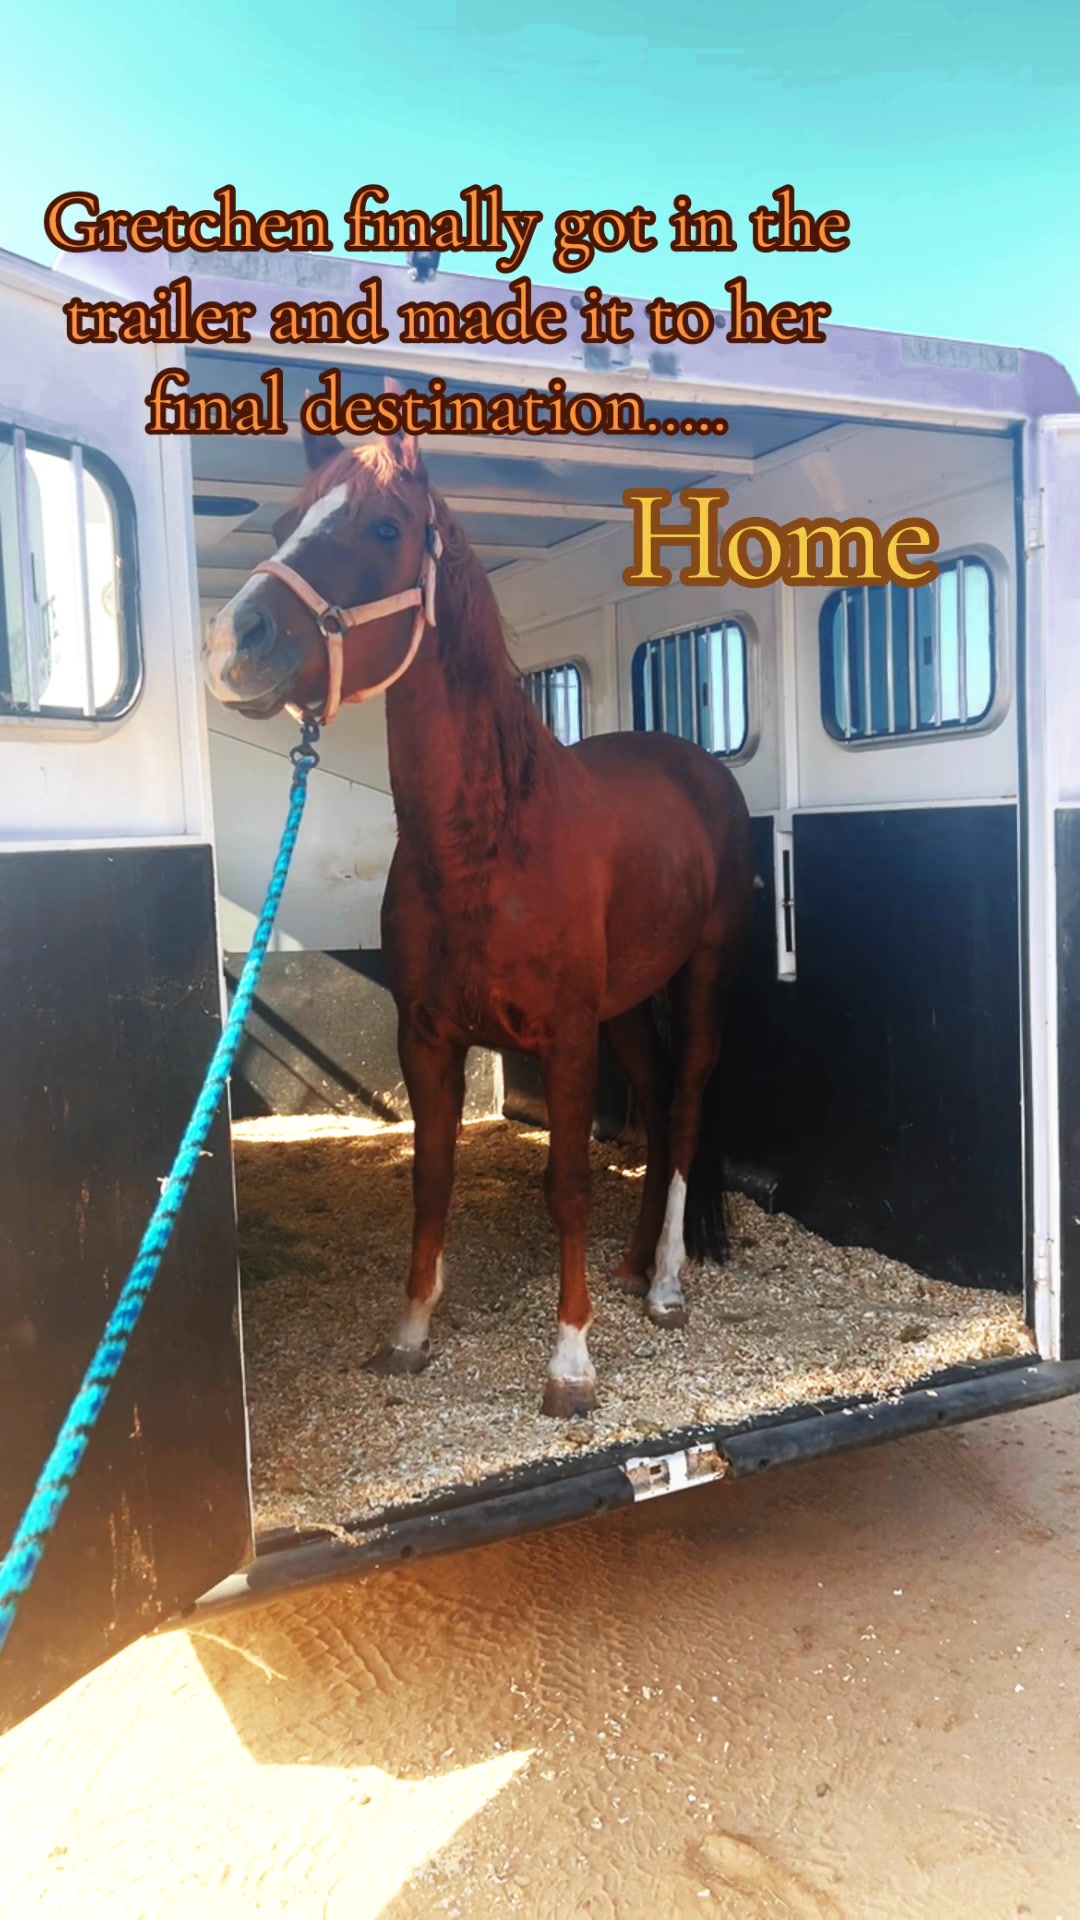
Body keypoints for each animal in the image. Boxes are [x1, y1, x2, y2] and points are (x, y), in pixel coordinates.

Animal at [203, 426, 755, 1418]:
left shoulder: (566, 1037)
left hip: (700, 977)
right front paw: (411, 1334)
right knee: (657, 1104)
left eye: (385, 527)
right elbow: (432, 1180)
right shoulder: (427, 1036)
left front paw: (571, 1361)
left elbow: (567, 1183)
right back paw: (631, 1264)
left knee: (687, 1102)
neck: (489, 840)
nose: (235, 642)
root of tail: (694, 765)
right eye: (279, 521)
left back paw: (664, 1285)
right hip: (626, 1006)